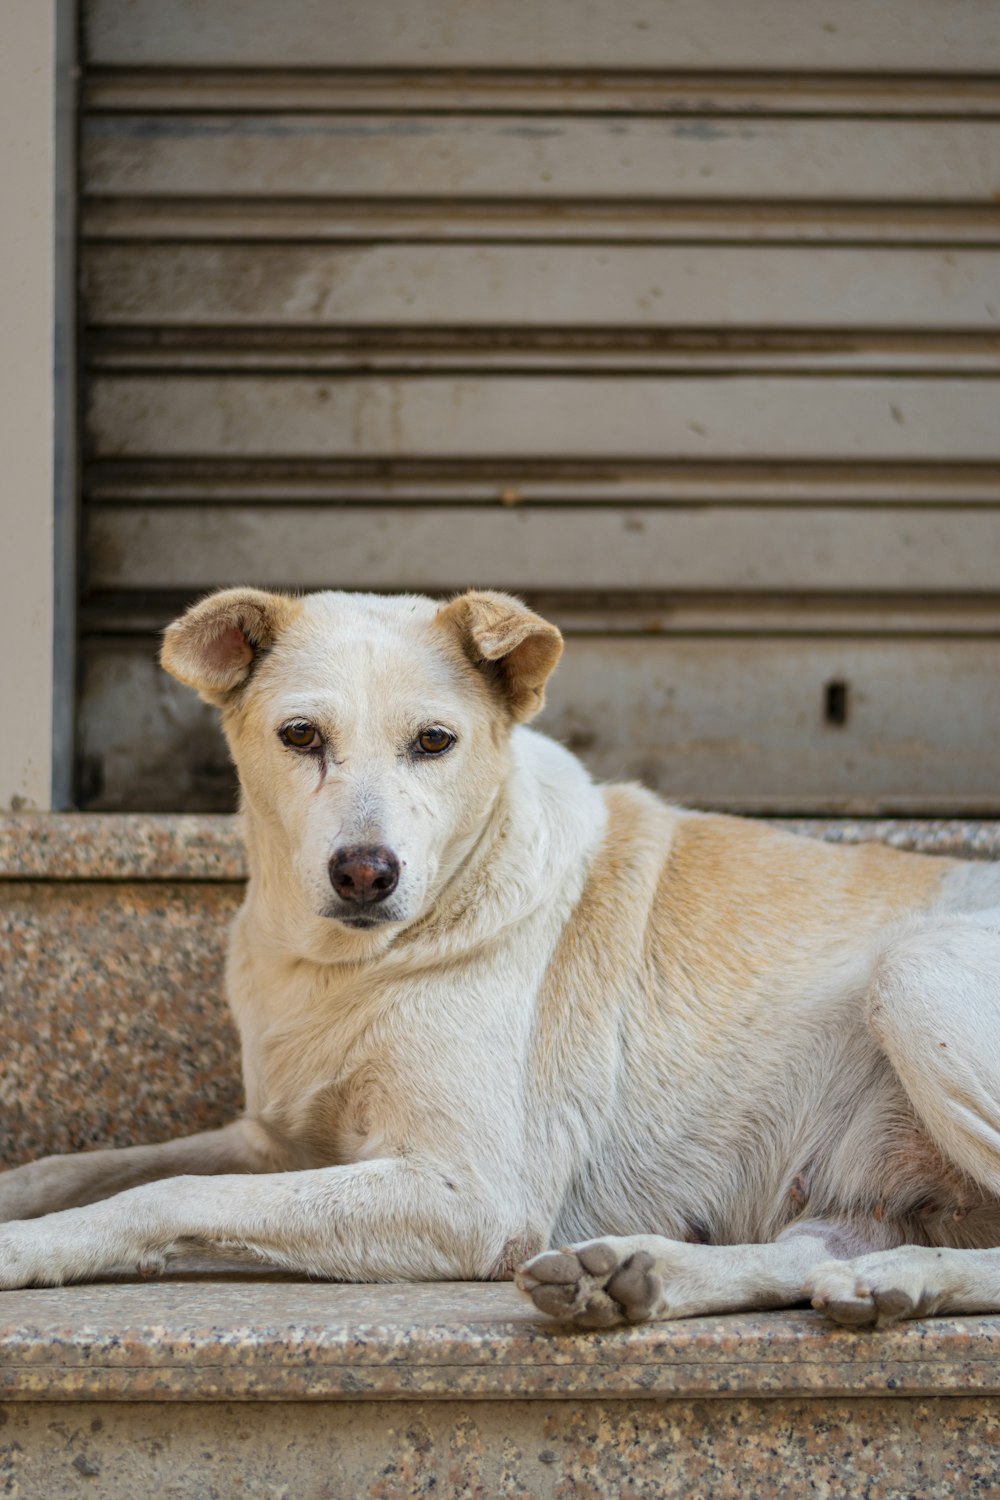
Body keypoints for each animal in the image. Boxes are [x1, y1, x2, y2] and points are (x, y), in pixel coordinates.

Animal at [5, 582, 1000, 1326]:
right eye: (300, 736)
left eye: (434, 741)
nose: (365, 873)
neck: (345, 969)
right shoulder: (273, 1140)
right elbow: (72, 1168)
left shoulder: (471, 1194)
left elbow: (167, 1193)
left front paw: (26, 1248)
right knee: (812, 1251)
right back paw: (639, 1277)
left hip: (914, 974)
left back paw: (901, 1280)